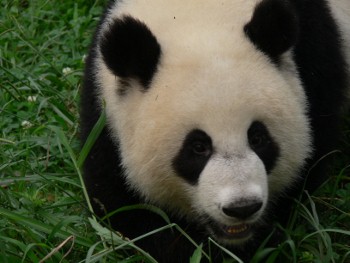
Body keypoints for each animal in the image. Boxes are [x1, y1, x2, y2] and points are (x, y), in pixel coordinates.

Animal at [80, 0, 348, 262]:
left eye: (258, 138)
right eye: (198, 147)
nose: (242, 207)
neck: (198, 15)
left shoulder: (315, 63)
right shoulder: (104, 114)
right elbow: (120, 203)